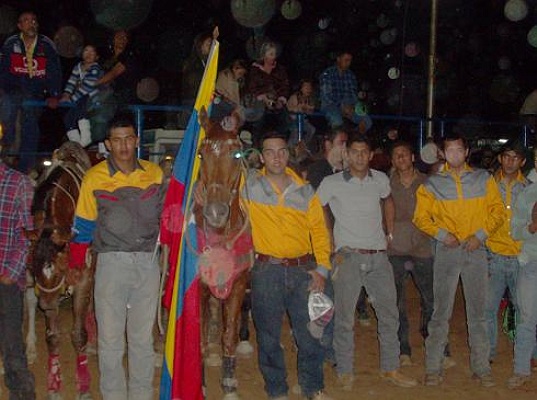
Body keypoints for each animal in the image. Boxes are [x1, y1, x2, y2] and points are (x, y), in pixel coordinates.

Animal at [30, 141, 95, 400]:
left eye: (58, 269)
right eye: (32, 269)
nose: (46, 305)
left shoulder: (83, 279)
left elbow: (78, 335)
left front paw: (84, 387)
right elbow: (52, 337)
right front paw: (53, 384)